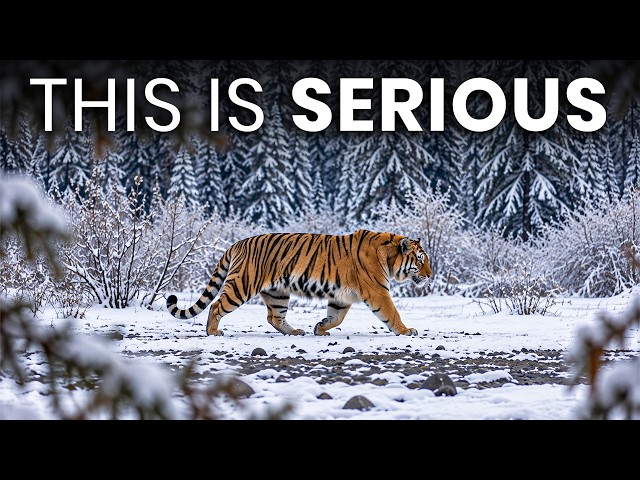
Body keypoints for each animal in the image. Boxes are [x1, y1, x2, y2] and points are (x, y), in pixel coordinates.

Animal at [166, 229, 432, 337]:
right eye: (420, 260)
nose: (430, 275)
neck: (389, 257)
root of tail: (238, 243)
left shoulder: (341, 296)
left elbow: (337, 317)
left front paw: (320, 327)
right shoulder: (378, 291)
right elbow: (392, 313)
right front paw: (407, 330)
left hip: (277, 293)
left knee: (274, 317)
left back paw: (295, 331)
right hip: (242, 285)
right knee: (216, 305)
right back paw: (212, 331)